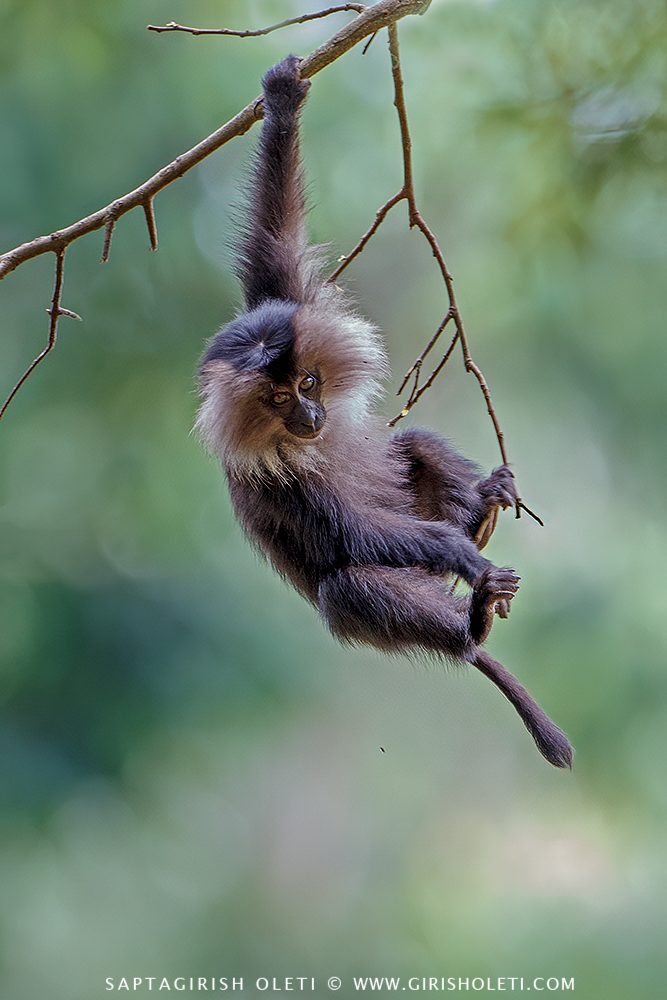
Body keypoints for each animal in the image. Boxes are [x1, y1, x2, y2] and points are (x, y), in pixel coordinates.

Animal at [196, 56, 573, 770]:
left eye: (309, 382)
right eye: (279, 399)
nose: (311, 415)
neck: (300, 443)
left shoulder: (282, 306)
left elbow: (276, 242)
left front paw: (282, 99)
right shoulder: (272, 479)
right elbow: (350, 535)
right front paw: (460, 554)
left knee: (415, 443)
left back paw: (482, 514)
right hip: (369, 609)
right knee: (350, 586)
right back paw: (473, 620)